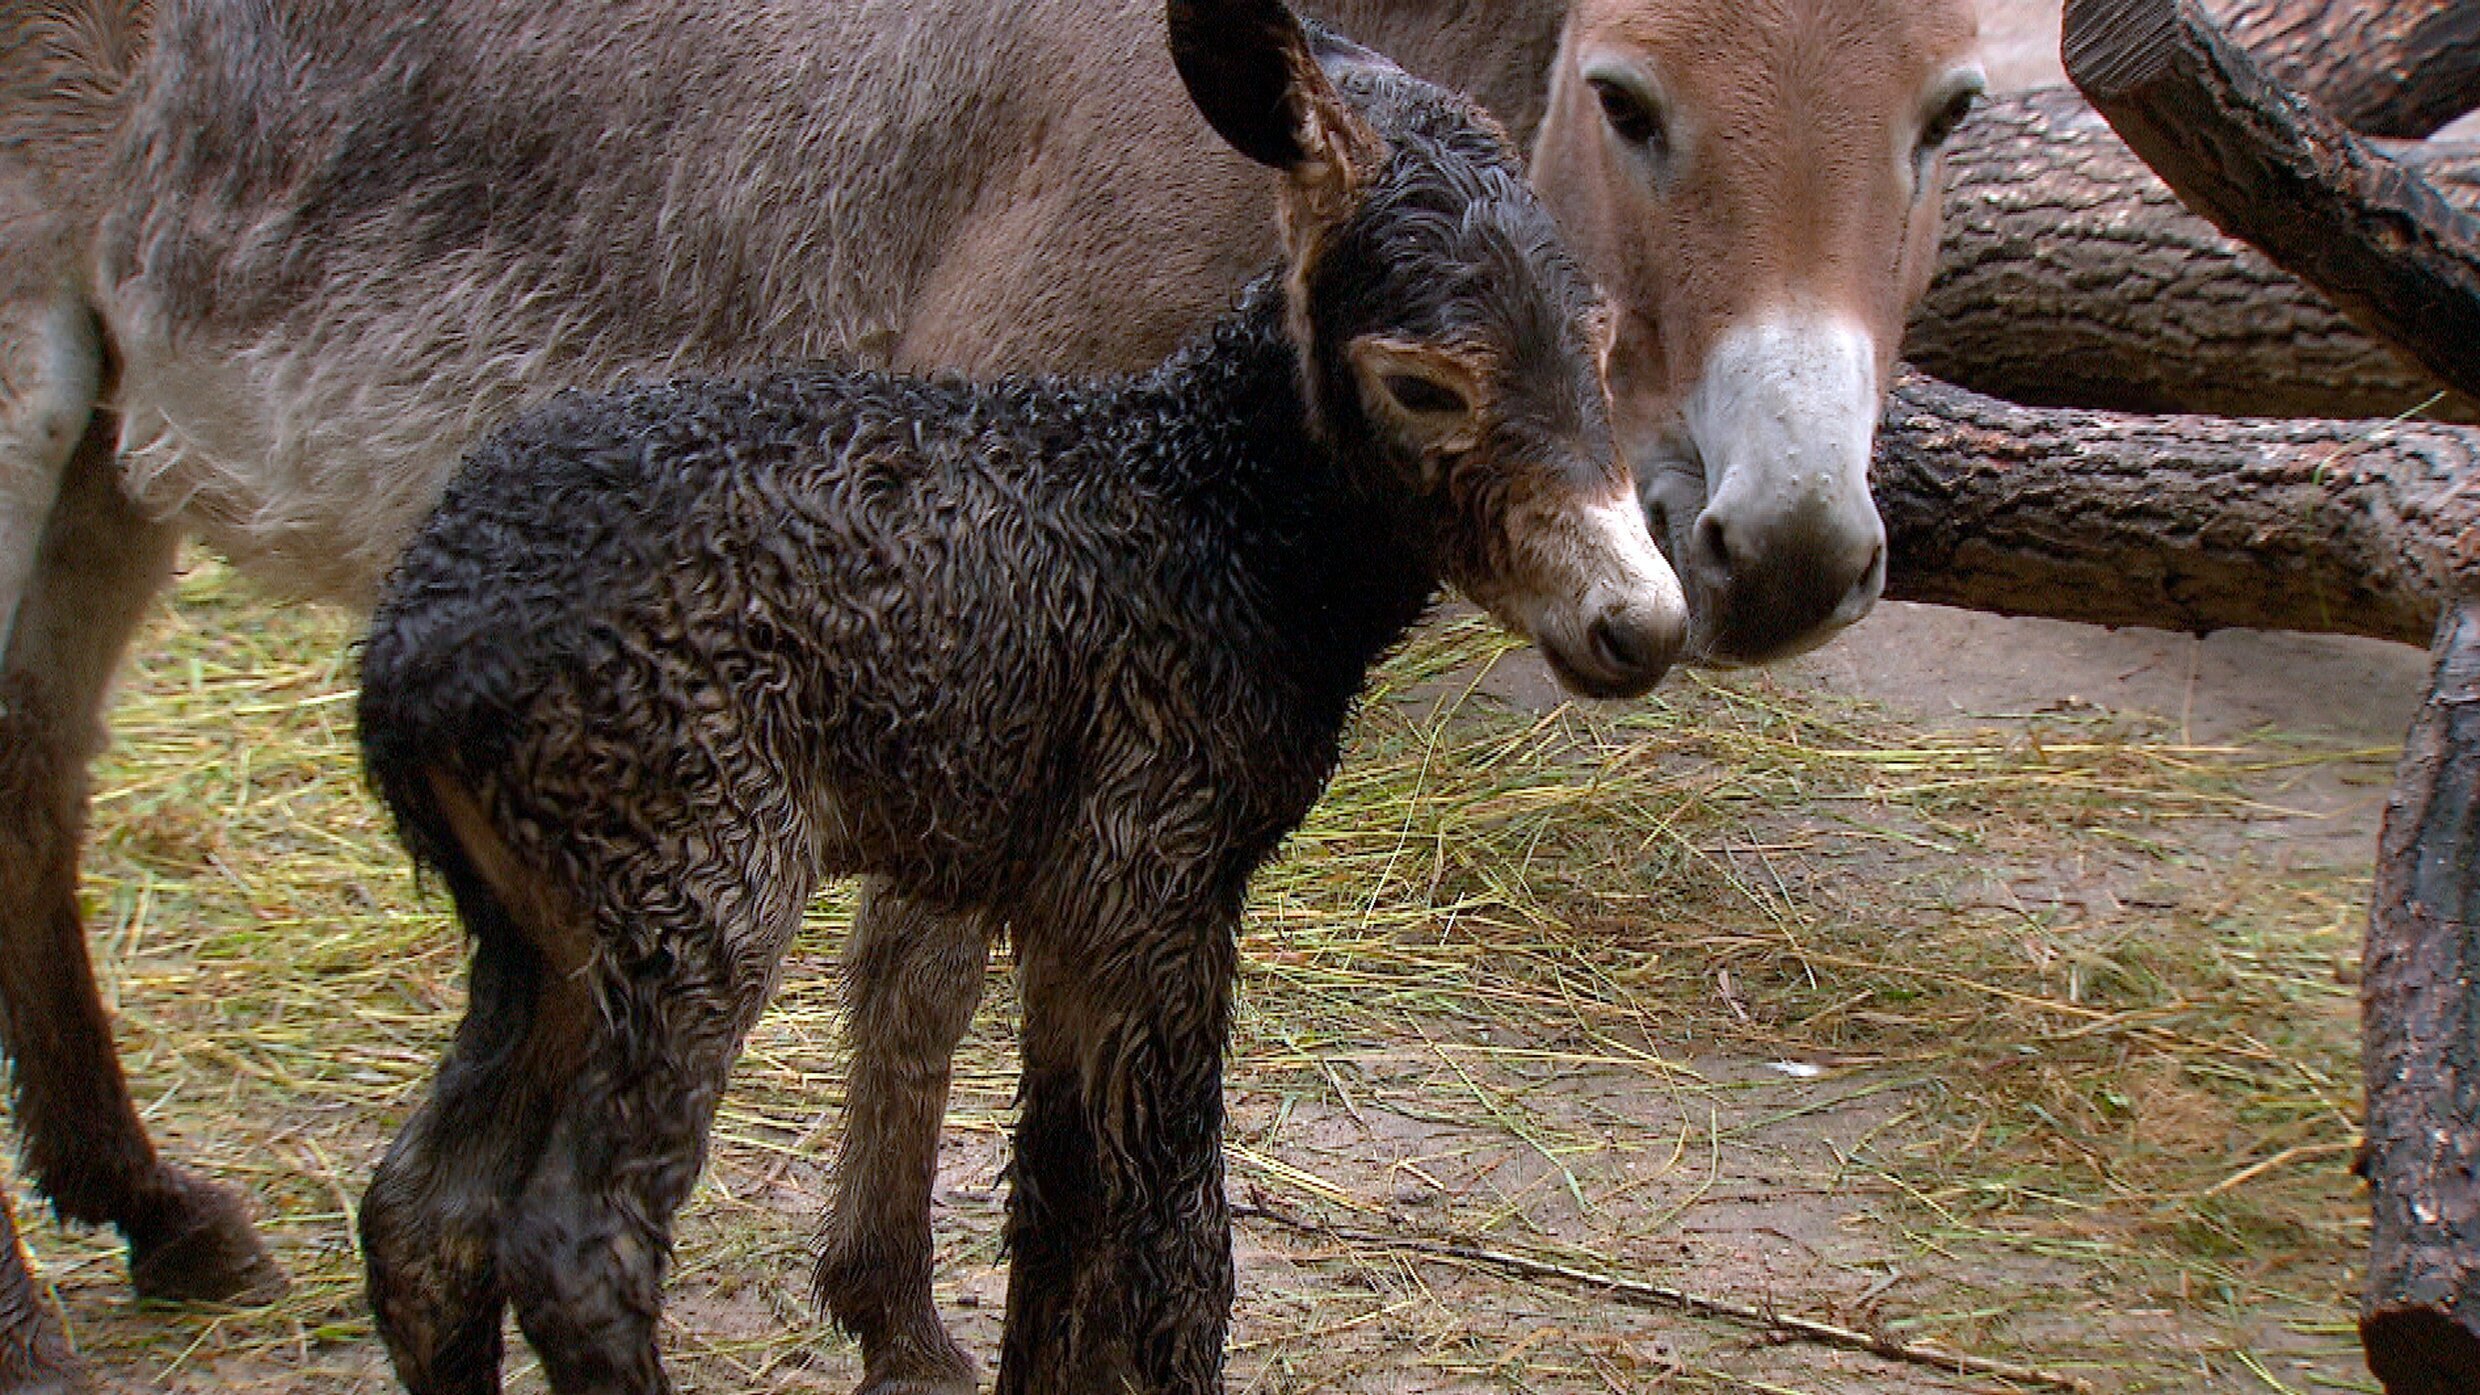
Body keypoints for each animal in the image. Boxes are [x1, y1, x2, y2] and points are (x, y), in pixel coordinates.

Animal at [354, 5, 1686, 1380]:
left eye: (1598, 347)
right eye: (1422, 386)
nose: (1638, 622)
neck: (1210, 520)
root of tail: (411, 653)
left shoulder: (1067, 907)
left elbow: (1060, 1207)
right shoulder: (1154, 873)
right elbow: (1176, 1248)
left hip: (543, 928)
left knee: (426, 1210)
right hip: (691, 877)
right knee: (576, 1242)